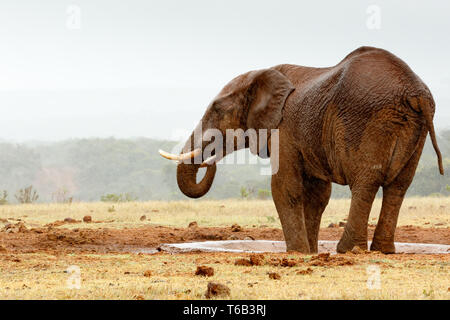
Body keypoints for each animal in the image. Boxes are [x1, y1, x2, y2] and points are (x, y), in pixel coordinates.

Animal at [159, 46, 442, 254]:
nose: (209, 158)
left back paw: (348, 250)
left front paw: (297, 252)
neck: (262, 74)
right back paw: (383, 250)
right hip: (415, 128)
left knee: (366, 183)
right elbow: (317, 195)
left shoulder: (284, 129)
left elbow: (284, 187)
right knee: (399, 187)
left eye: (217, 110)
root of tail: (415, 92)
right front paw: (311, 252)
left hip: (369, 120)